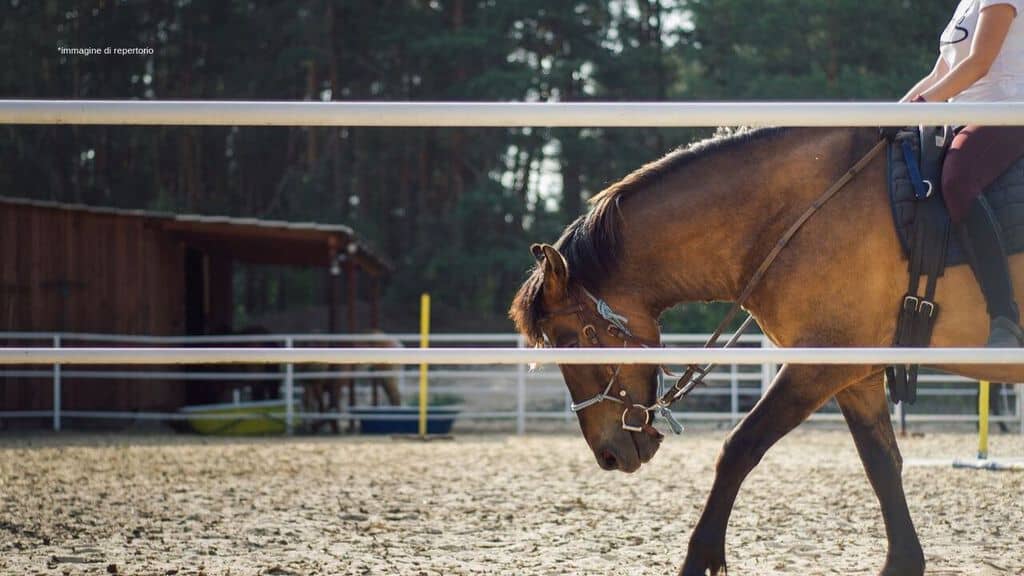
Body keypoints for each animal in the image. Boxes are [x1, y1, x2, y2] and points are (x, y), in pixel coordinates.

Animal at [507, 126, 1019, 573]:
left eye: (569, 341)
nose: (608, 454)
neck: (802, 213)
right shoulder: (855, 374)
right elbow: (882, 464)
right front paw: (903, 563)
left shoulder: (819, 366)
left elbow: (739, 447)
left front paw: (700, 559)